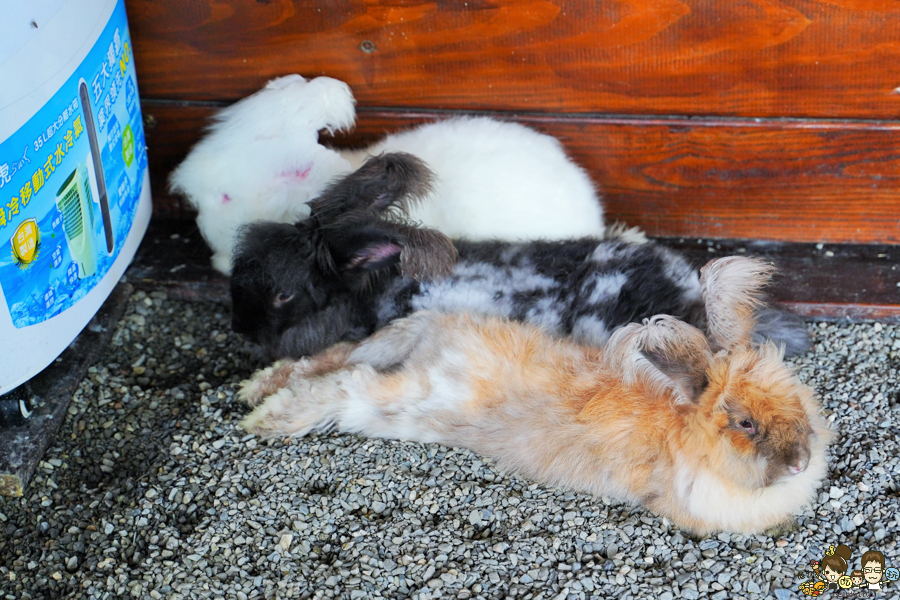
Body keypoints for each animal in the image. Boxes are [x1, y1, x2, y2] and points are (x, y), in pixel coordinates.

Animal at [239, 256, 828, 536]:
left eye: (800, 406)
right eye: (745, 423)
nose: (800, 463)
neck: (686, 434)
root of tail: (435, 340)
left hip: (395, 364)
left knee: (334, 357)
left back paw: (255, 388)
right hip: (401, 394)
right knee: (345, 383)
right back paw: (266, 418)